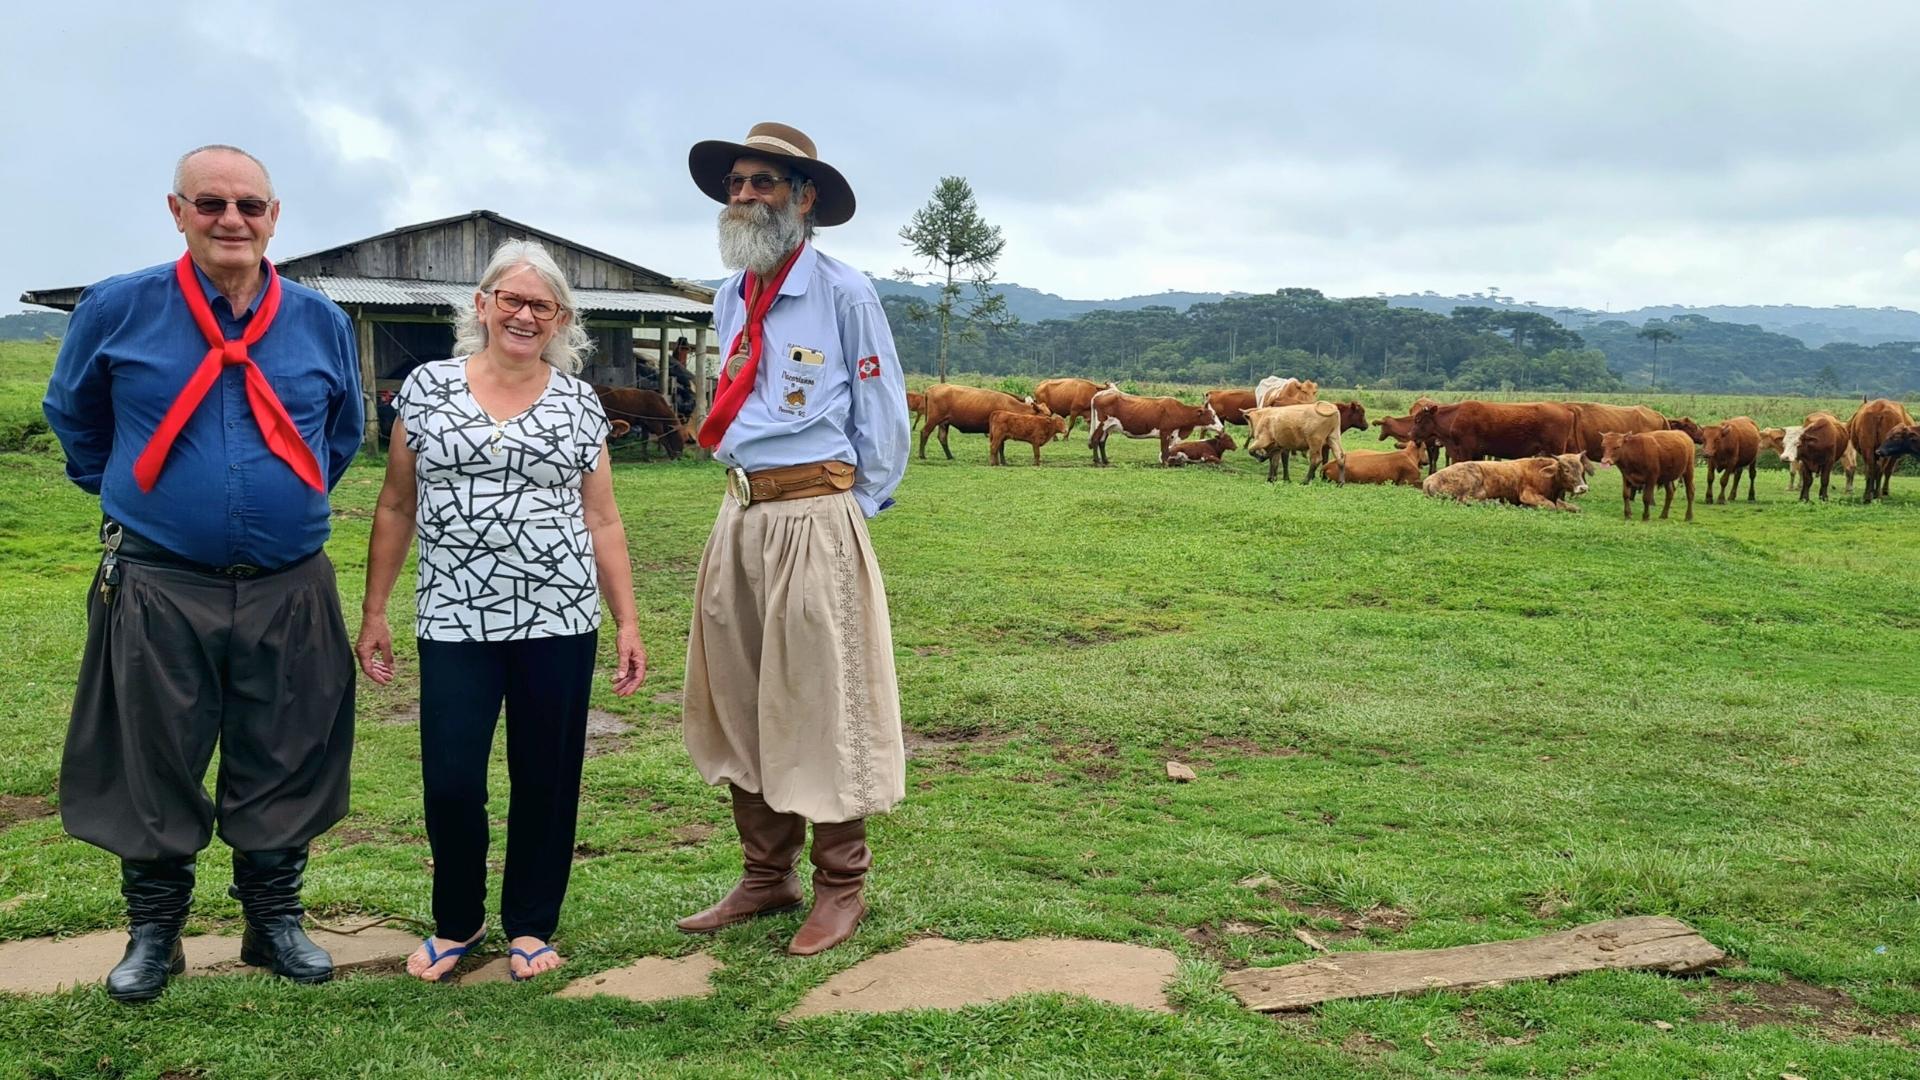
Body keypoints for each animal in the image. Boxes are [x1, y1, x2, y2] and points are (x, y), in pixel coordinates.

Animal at [917, 382, 1052, 457]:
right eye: (1046, 416)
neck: (1010, 406)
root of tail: (931, 388)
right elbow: (1000, 447)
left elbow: (1000, 447)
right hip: (933, 419)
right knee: (924, 432)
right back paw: (922, 455)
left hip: (944, 422)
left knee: (942, 438)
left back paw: (950, 456)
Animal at [1090, 390, 1221, 466]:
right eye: (1213, 415)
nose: (1222, 427)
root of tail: (1100, 394)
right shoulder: (1165, 432)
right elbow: (1164, 449)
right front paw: (1165, 463)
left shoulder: (1173, 435)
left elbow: (1169, 449)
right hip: (1101, 424)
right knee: (1095, 440)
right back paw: (1097, 461)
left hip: (1108, 427)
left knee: (1102, 442)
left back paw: (1106, 461)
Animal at [1413, 395, 1574, 463]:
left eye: (1418, 419)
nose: (1411, 434)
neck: (1455, 416)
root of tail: (1564, 409)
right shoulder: (1477, 453)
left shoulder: (1465, 450)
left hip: (1554, 450)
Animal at [1428, 449, 1589, 507]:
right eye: (1566, 470)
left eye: (1581, 470)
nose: (1583, 488)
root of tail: (1429, 480)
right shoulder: (1527, 495)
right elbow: (1551, 506)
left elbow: (1575, 508)